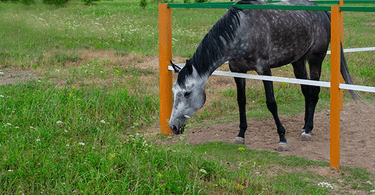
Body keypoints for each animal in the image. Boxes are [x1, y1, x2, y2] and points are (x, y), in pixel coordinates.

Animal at [169, 0, 356, 151]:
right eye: (174, 91)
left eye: (187, 93)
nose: (172, 126)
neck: (242, 30)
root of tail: (321, 10)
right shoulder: (238, 71)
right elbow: (241, 102)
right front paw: (241, 135)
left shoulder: (265, 70)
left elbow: (271, 103)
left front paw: (282, 139)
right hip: (298, 62)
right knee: (306, 92)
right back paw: (304, 126)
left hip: (315, 60)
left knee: (315, 92)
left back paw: (308, 130)